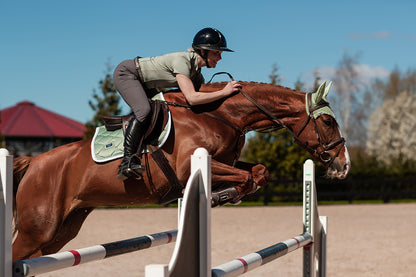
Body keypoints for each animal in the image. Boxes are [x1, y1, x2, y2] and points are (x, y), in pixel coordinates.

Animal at [11, 80, 350, 260]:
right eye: (328, 121)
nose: (343, 165)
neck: (220, 115)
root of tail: (33, 162)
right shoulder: (190, 165)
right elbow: (247, 176)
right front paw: (221, 196)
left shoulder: (226, 161)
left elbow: (258, 172)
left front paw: (226, 194)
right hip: (36, 230)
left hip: (60, 231)